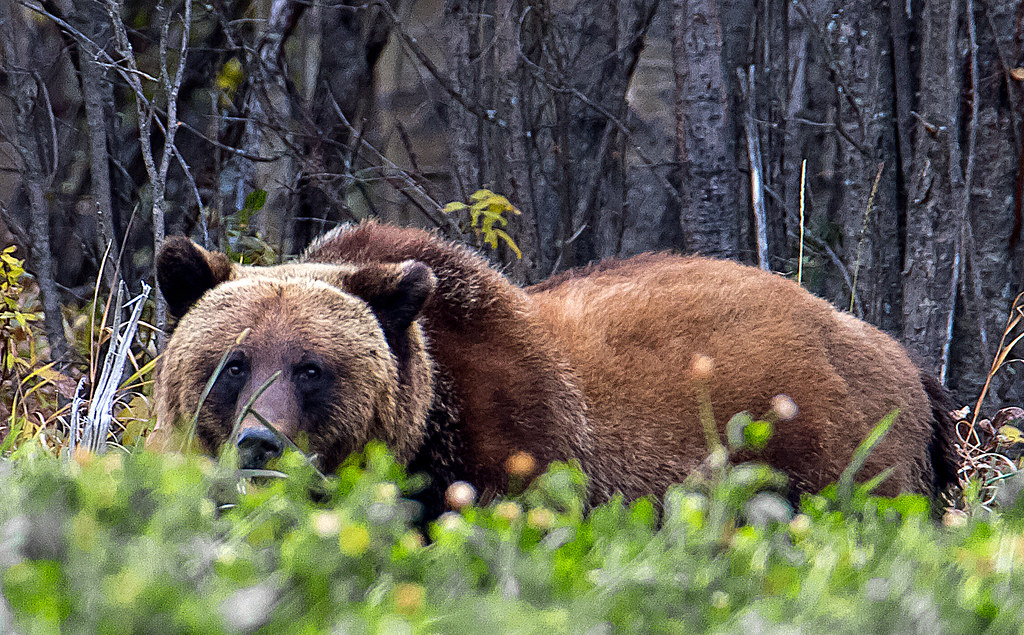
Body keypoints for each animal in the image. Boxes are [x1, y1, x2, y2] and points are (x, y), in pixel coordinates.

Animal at [151, 221, 959, 517]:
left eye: (312, 368)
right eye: (232, 363)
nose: (260, 441)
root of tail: (905, 358)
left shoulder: (516, 446)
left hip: (835, 459)